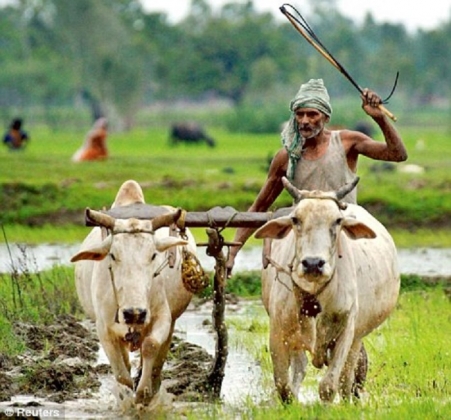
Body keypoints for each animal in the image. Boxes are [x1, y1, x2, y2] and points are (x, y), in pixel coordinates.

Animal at [70, 180, 196, 406]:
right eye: (112, 255)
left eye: (153, 255)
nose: (134, 313)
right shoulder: (103, 328)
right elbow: (122, 374)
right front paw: (126, 397)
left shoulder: (163, 317)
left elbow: (151, 346)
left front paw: (144, 393)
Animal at [254, 177, 400, 403]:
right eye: (295, 219)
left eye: (338, 221)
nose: (313, 263)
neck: (314, 294)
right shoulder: (278, 332)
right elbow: (283, 386)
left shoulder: (346, 332)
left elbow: (329, 386)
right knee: (300, 368)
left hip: (357, 337)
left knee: (347, 380)